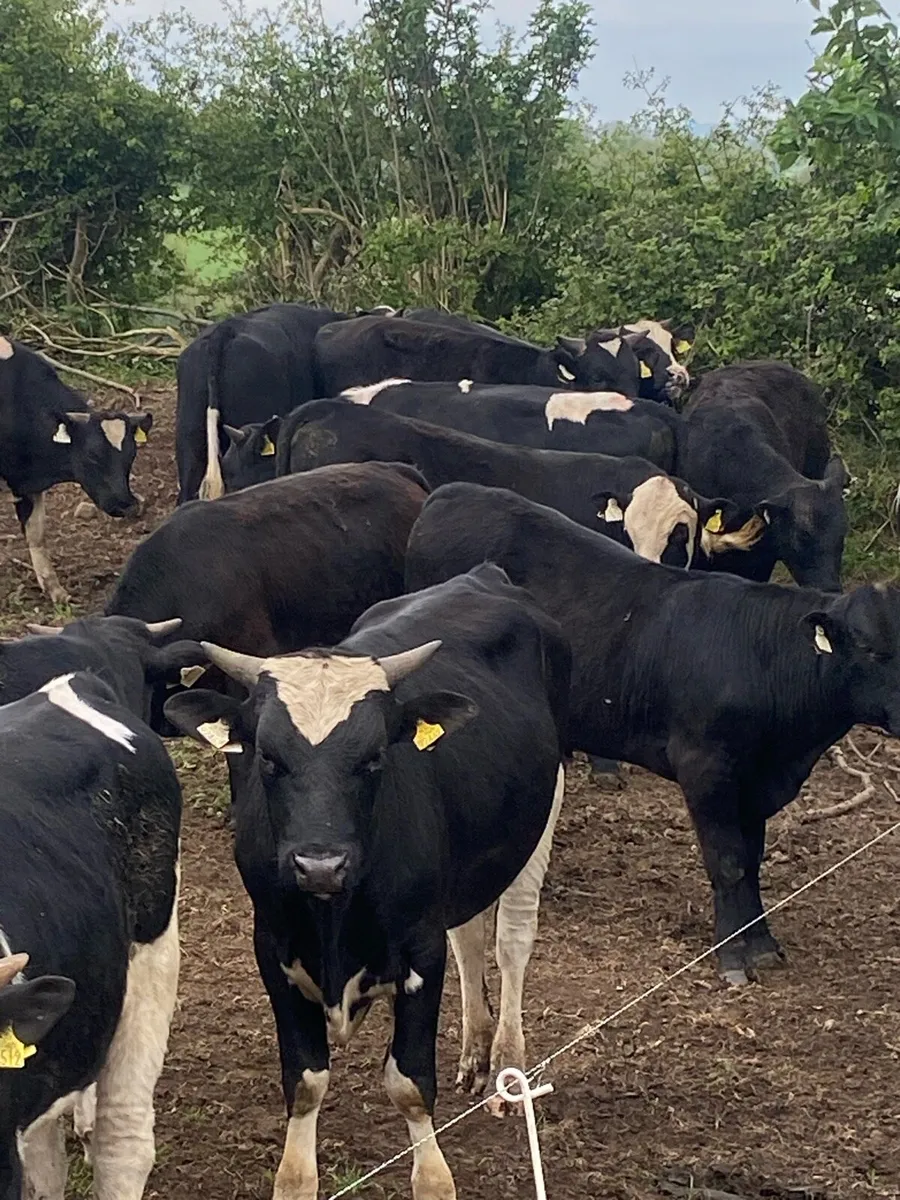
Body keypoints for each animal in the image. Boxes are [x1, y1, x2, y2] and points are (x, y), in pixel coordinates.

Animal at [0, 335, 152, 604]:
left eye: (131, 454)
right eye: (92, 455)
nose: (126, 504)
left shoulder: (26, 485)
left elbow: (35, 533)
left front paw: (55, 591)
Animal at [163, 562, 570, 1199]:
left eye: (374, 757)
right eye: (268, 758)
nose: (320, 864)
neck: (334, 923)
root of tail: (483, 576)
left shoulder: (420, 954)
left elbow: (409, 1082)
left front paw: (434, 1180)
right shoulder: (272, 949)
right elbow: (305, 1081)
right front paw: (294, 1180)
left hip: (544, 808)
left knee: (511, 944)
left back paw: (507, 1061)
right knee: (470, 936)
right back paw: (475, 1052)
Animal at [403, 483, 900, 985]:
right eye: (873, 651)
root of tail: (451, 494)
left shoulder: (755, 782)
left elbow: (752, 859)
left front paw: (760, 943)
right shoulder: (706, 768)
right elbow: (729, 863)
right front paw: (732, 954)